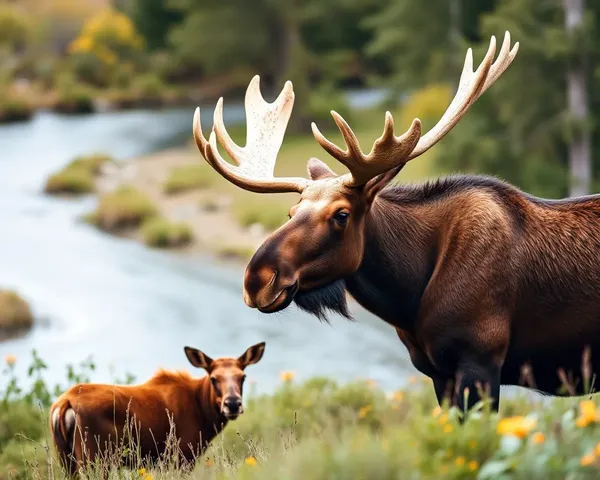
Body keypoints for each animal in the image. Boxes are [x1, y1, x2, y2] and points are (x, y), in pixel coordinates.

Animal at [50, 344, 266, 474]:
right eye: (213, 378)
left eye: (242, 377)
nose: (233, 403)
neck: (204, 416)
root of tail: (64, 404)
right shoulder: (182, 455)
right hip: (94, 457)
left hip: (66, 458)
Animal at [191, 31, 600, 412]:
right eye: (292, 212)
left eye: (341, 215)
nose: (257, 279)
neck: (408, 294)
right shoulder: (437, 372)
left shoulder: (481, 360)